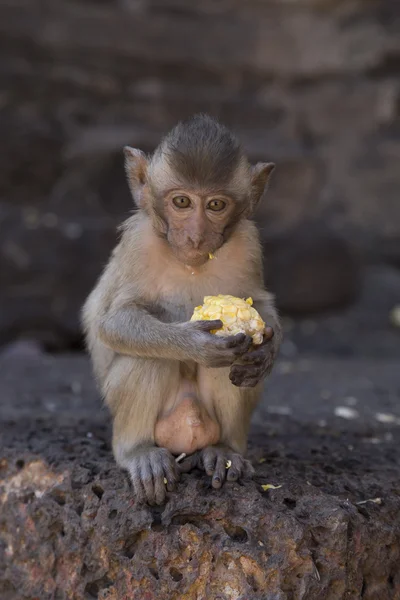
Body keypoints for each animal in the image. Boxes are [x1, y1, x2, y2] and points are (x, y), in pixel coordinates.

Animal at [82, 113, 282, 506]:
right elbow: (113, 321)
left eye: (215, 206)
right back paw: (139, 452)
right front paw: (194, 344)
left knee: (232, 367)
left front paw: (265, 351)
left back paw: (224, 451)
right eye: (182, 202)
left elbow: (260, 302)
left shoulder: (247, 242)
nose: (195, 236)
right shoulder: (138, 242)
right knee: (147, 357)